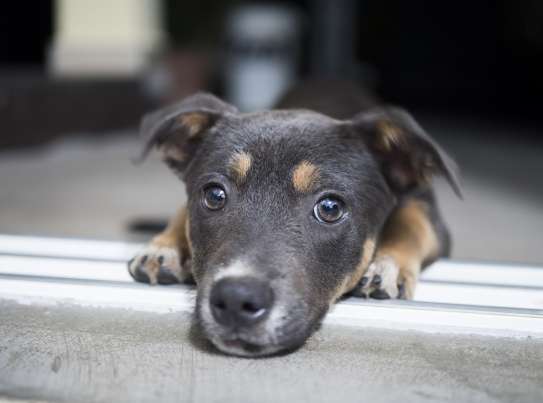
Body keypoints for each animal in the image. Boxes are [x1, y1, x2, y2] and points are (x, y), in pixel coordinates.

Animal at [126, 81, 460, 356]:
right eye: (214, 196)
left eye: (330, 208)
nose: (236, 299)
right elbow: (181, 210)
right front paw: (162, 247)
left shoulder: (428, 211)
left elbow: (412, 224)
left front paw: (388, 265)